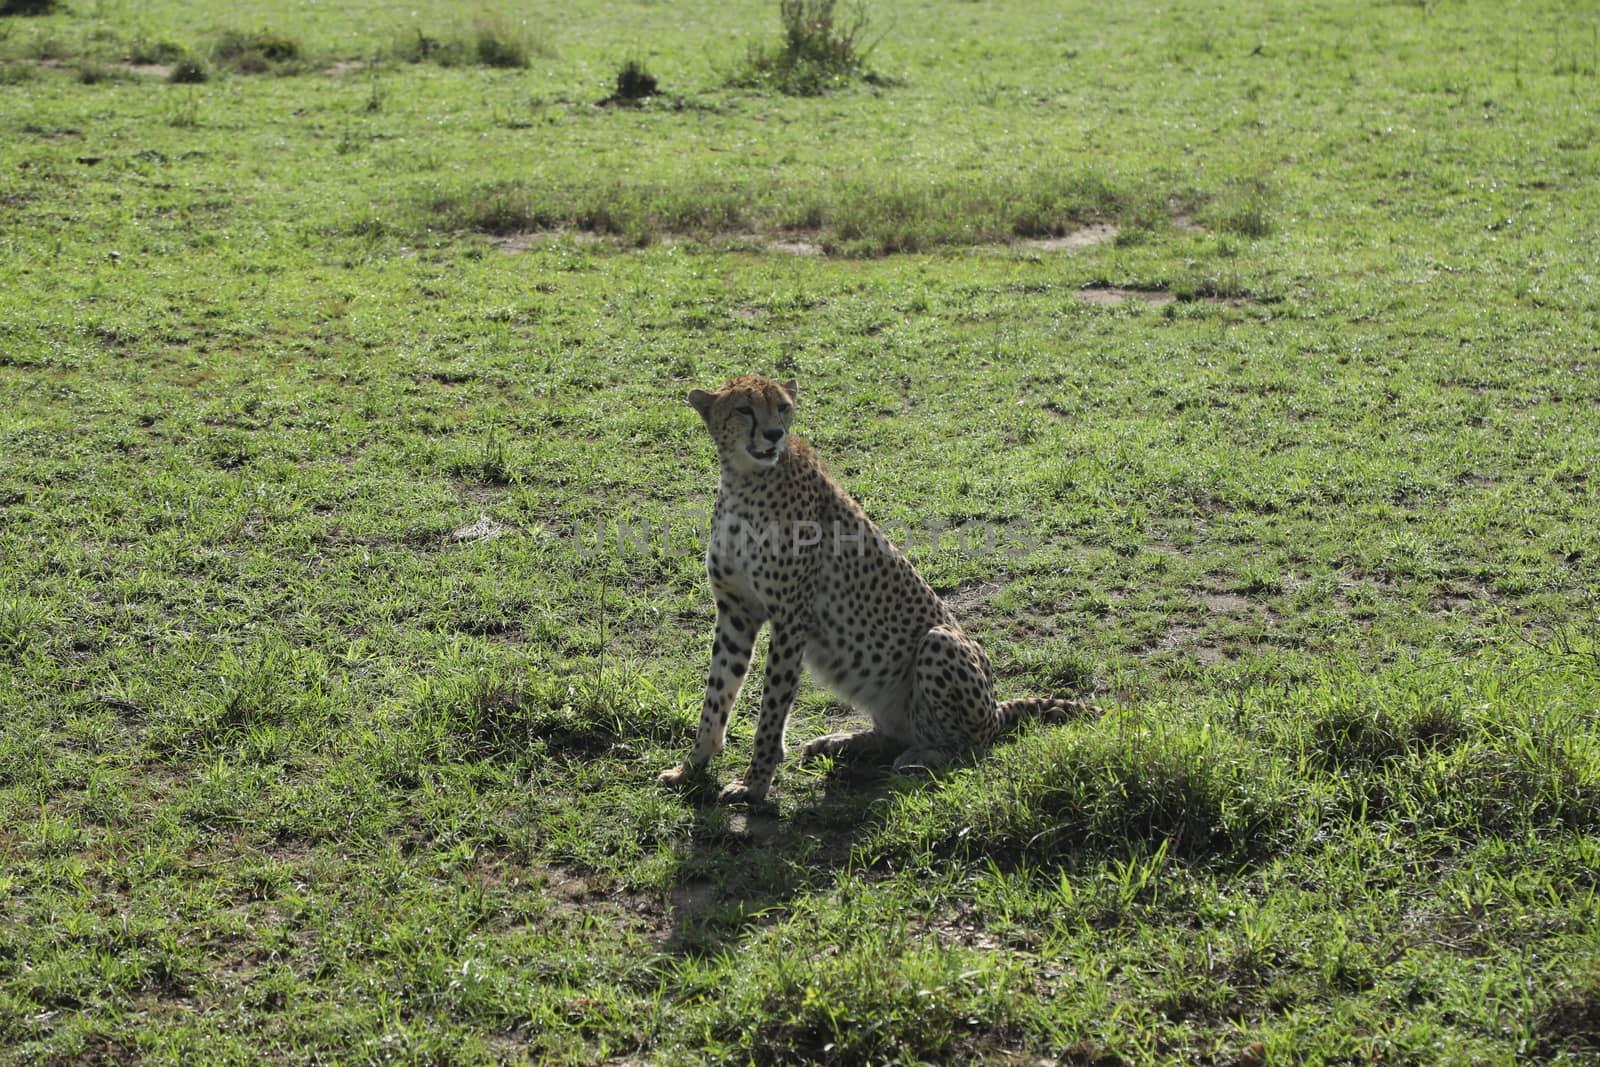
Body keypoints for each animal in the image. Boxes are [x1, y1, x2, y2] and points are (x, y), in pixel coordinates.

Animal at [656, 374, 1094, 799]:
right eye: (744, 409)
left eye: (782, 406)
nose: (774, 434)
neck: (744, 479)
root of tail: (995, 709)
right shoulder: (736, 611)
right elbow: (717, 693)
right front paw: (691, 766)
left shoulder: (791, 617)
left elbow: (772, 708)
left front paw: (755, 784)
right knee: (892, 736)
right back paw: (839, 742)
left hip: (941, 641)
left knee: (968, 746)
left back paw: (923, 755)